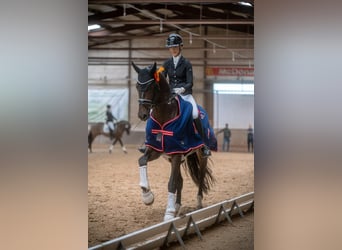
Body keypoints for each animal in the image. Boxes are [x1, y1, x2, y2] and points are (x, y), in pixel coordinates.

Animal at [132, 62, 215, 221]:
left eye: (152, 86)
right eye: (137, 86)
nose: (142, 115)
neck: (164, 114)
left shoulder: (176, 153)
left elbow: (171, 183)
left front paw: (168, 214)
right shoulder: (157, 150)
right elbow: (141, 160)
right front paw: (147, 196)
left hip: (200, 155)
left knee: (201, 176)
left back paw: (198, 202)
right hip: (173, 158)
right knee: (180, 181)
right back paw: (177, 206)